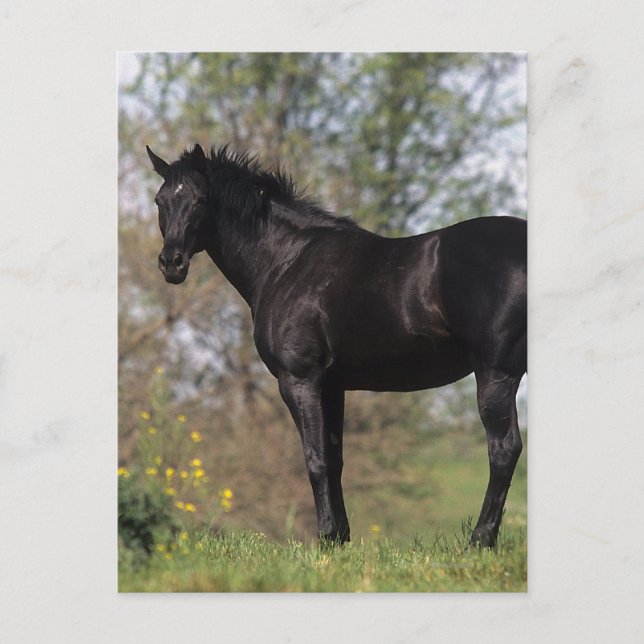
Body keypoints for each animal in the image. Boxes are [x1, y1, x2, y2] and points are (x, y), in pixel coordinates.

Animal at [146, 143, 527, 548]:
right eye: (160, 200)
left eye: (201, 199)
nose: (171, 263)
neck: (287, 260)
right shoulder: (332, 385)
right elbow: (335, 458)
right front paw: (341, 538)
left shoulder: (300, 379)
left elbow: (315, 459)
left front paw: (326, 536)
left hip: (496, 374)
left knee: (503, 451)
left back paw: (480, 540)